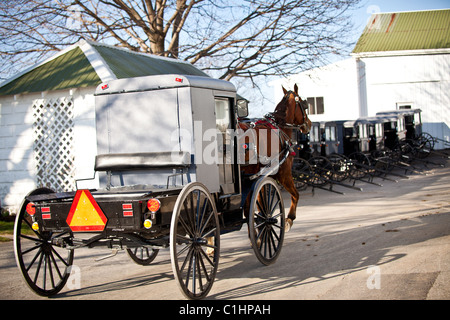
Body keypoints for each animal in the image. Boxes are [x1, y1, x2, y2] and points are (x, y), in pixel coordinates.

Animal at [239, 84, 310, 231]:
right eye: (304, 104)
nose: (309, 124)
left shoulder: (261, 176)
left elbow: (260, 203)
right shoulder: (284, 173)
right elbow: (295, 195)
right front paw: (289, 219)